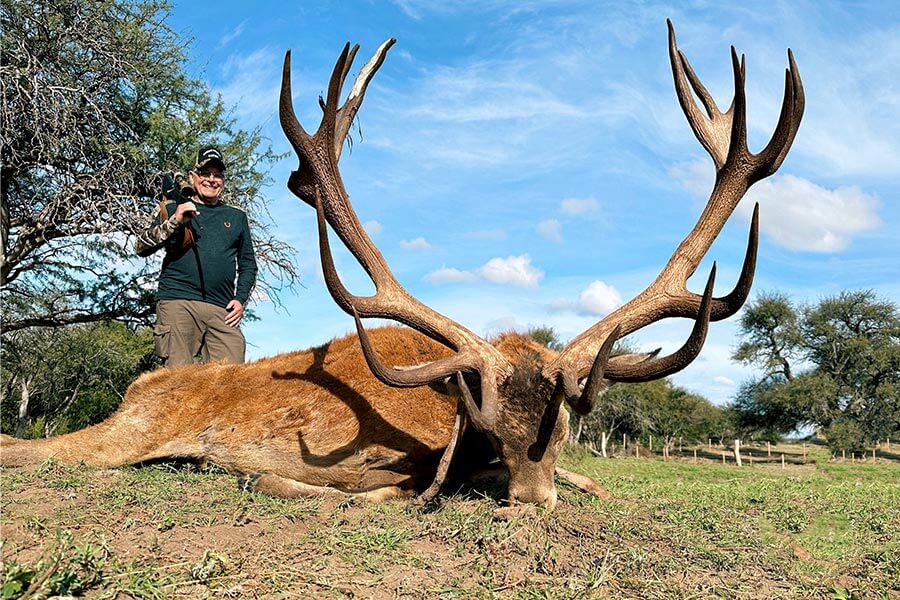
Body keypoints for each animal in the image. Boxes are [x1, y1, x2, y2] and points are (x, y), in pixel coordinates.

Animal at [0, 21, 803, 513]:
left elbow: (591, 482)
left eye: (563, 429)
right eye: (497, 433)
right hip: (122, 436)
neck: (452, 416)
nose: (531, 500)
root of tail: (140, 384)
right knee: (26, 448)